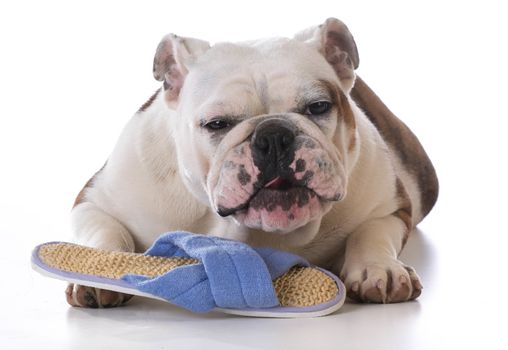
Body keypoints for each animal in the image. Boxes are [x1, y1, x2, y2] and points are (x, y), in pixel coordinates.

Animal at [68, 18, 440, 308]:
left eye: (318, 106)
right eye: (217, 124)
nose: (273, 135)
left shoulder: (390, 206)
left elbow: (372, 233)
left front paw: (379, 269)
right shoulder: (96, 201)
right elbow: (106, 233)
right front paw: (96, 272)